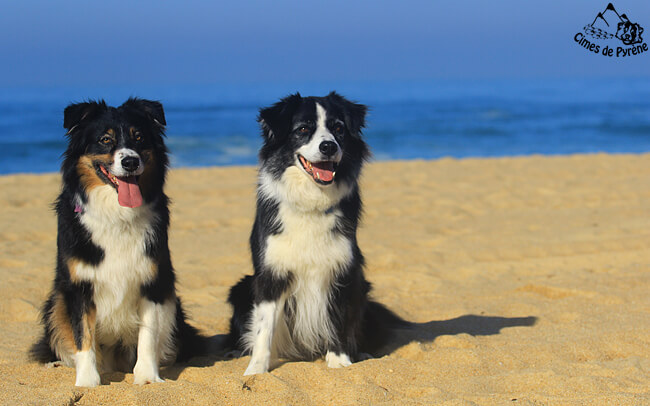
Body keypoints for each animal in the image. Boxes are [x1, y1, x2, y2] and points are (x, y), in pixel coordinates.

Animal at [30, 97, 206, 386]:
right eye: (105, 139)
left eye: (139, 137)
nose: (131, 162)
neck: (117, 215)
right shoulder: (79, 286)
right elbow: (83, 336)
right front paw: (87, 382)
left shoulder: (153, 282)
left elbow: (148, 335)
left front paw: (147, 377)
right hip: (56, 302)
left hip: (173, 306)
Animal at [225, 91, 402, 374]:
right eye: (303, 129)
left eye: (338, 128)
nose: (328, 146)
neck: (311, 200)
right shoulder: (272, 273)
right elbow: (264, 328)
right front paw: (256, 370)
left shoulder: (343, 270)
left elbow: (339, 320)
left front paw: (340, 361)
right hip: (241, 288)